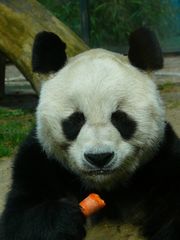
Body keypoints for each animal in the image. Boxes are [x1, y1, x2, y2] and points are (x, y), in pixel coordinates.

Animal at [0, 27, 180, 239]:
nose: (99, 157)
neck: (104, 187)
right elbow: (20, 219)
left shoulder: (162, 161)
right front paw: (64, 219)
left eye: (120, 118)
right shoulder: (41, 161)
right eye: (76, 119)